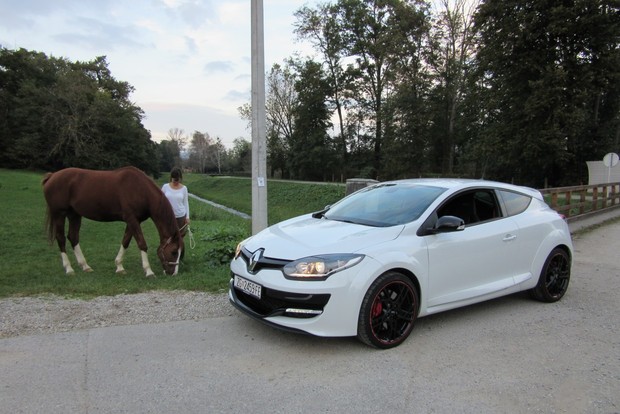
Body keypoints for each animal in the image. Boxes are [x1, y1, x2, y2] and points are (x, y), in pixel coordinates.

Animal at [42, 167, 183, 276]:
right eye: (174, 252)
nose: (173, 273)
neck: (140, 189)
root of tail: (52, 176)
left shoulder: (133, 221)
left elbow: (125, 242)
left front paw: (119, 267)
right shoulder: (132, 219)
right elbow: (142, 243)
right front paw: (149, 271)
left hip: (74, 215)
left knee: (73, 237)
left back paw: (85, 266)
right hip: (59, 214)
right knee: (61, 238)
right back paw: (69, 269)